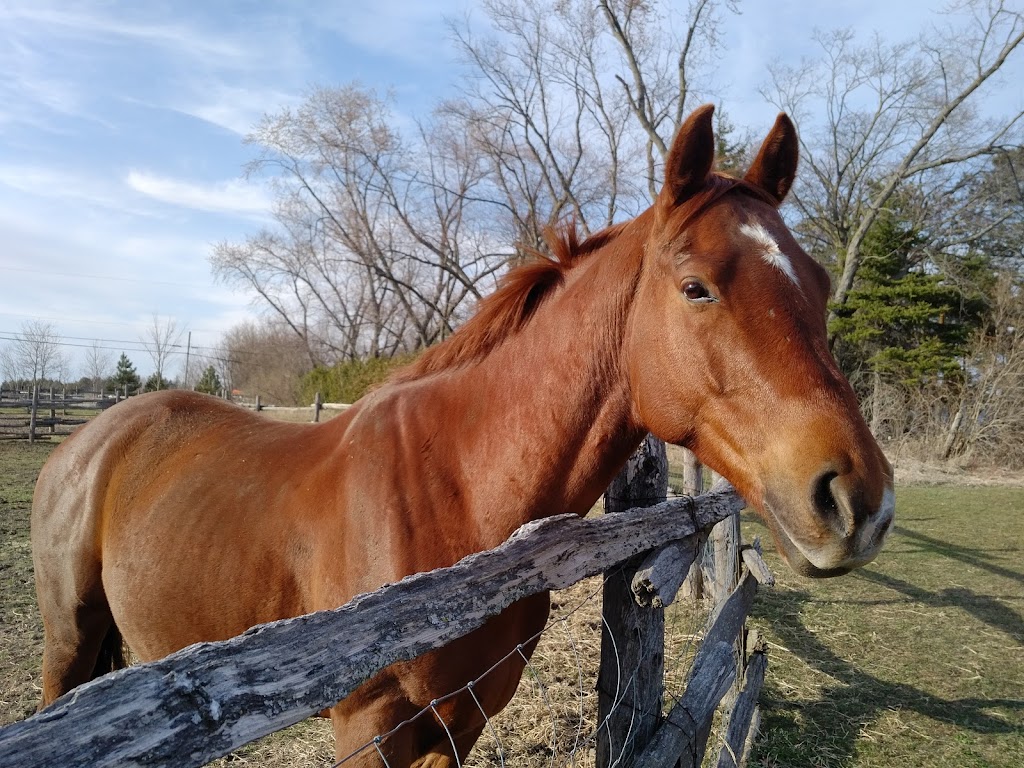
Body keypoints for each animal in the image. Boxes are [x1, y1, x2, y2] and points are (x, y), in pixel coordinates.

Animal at [32, 107, 892, 765]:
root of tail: (94, 437)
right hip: (69, 645)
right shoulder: (367, 727)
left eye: (818, 283)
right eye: (696, 288)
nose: (860, 501)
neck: (457, 492)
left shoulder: (463, 723)